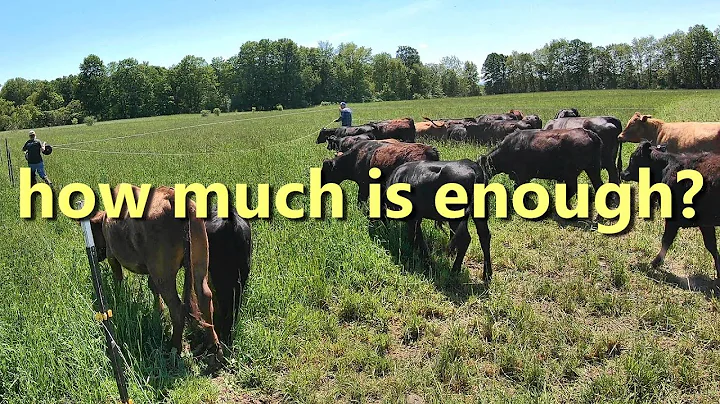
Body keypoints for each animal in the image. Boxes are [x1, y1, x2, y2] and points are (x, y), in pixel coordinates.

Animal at [86, 185, 221, 357]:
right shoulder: (151, 269)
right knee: (204, 296)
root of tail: (171, 196)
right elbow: (152, 287)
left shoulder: (112, 255)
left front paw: (118, 296)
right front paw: (158, 311)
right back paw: (214, 346)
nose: (95, 257)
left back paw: (174, 347)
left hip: (164, 274)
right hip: (198, 262)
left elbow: (118, 278)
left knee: (177, 309)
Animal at [620, 140, 720, 279]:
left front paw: (655, 262)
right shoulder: (706, 224)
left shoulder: (675, 220)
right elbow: (712, 246)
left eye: (633, 158)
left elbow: (666, 240)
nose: (623, 173)